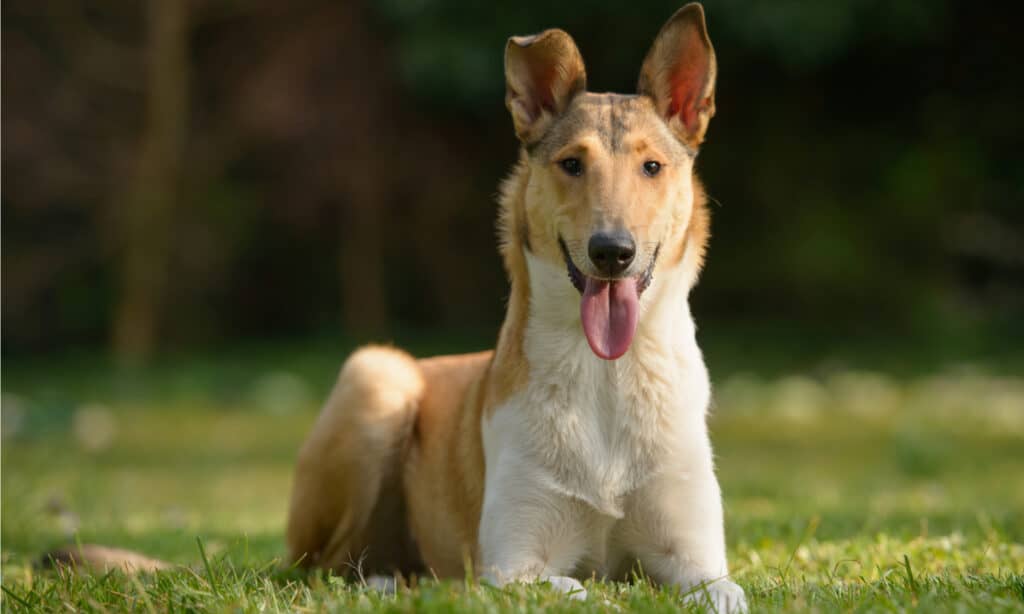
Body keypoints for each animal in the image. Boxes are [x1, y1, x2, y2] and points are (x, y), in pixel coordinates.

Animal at [284, 3, 749, 609]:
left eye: (651, 167)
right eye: (572, 164)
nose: (612, 252)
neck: (607, 373)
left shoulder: (696, 561)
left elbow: (725, 592)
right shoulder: (512, 565)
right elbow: (583, 590)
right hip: (376, 377)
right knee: (321, 565)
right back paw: (389, 581)